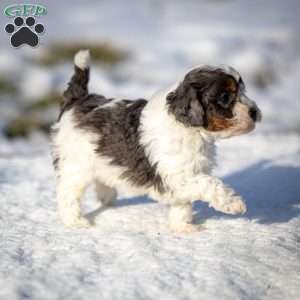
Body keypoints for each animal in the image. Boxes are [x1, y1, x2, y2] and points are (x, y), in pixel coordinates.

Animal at [52, 49, 262, 233]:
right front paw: (235, 204)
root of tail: (78, 100)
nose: (254, 112)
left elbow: (183, 205)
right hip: (75, 165)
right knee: (67, 194)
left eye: (243, 91)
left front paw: (183, 228)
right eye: (225, 97)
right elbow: (209, 184)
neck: (191, 129)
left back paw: (107, 196)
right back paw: (76, 222)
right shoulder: (178, 176)